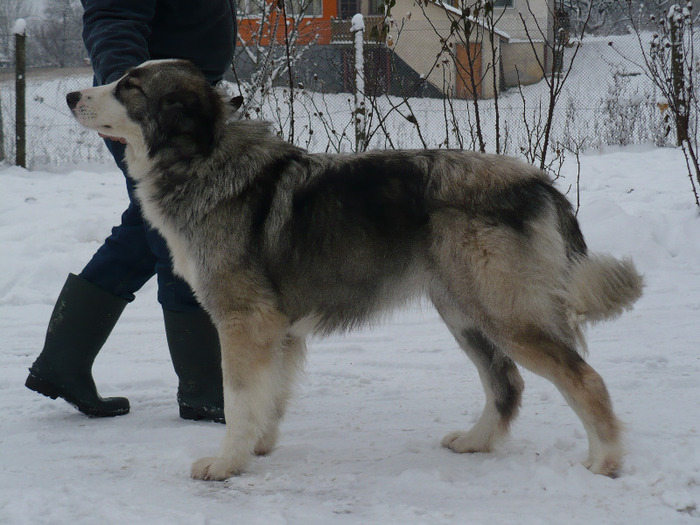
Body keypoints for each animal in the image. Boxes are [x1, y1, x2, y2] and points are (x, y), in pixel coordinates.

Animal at [68, 58, 644, 478]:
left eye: (129, 87)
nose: (72, 96)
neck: (203, 159)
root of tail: (538, 182)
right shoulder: (276, 329)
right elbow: (268, 396)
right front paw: (258, 447)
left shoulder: (244, 321)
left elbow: (240, 399)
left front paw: (227, 462)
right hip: (464, 312)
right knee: (507, 383)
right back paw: (477, 441)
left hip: (503, 313)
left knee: (582, 378)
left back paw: (606, 460)